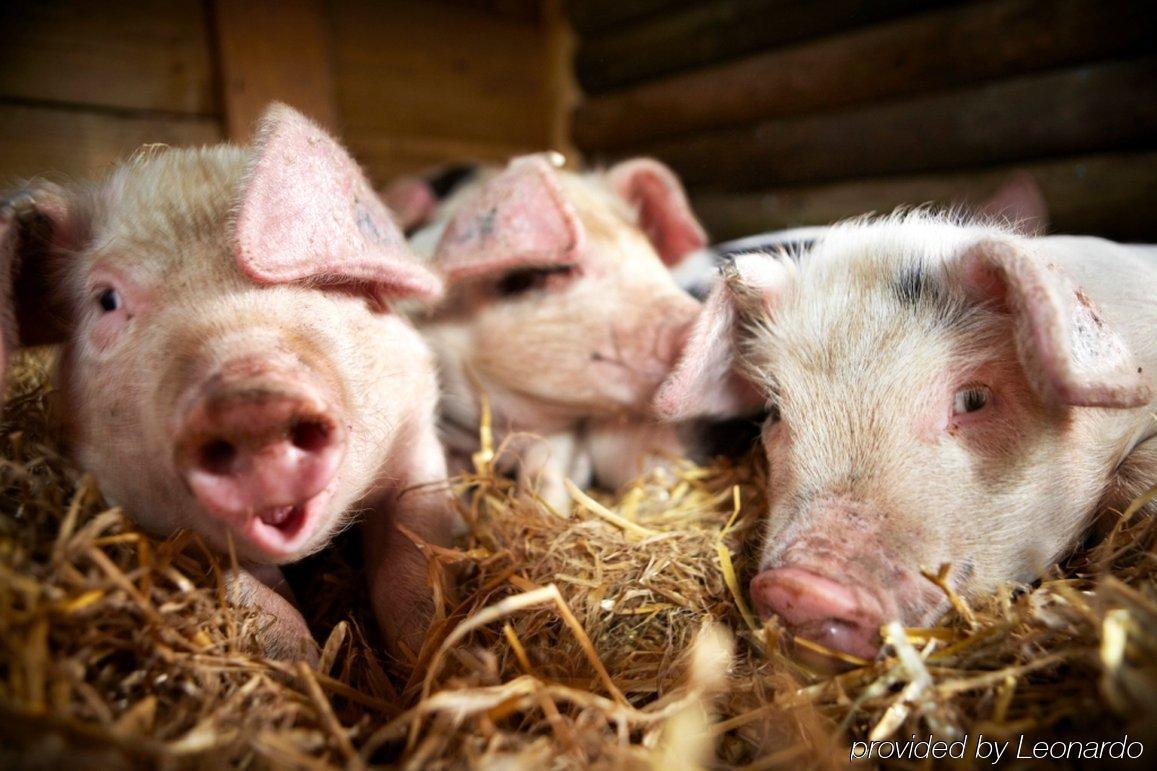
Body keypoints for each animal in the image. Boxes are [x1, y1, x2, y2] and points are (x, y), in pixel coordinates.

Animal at [2, 100, 458, 652]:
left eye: (330, 280)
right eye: (106, 300)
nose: (252, 404)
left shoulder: (418, 433)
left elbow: (413, 565)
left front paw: (428, 653)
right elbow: (260, 605)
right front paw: (302, 661)